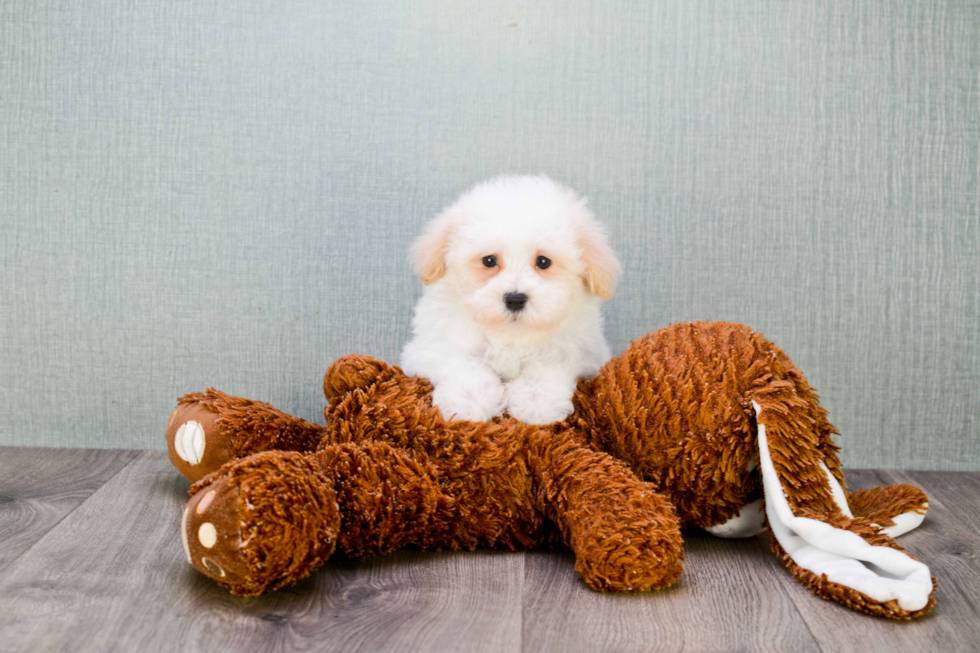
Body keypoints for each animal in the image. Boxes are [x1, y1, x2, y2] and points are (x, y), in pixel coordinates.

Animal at [400, 176, 620, 426]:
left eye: (543, 262)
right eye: (489, 260)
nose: (515, 299)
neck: (510, 334)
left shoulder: (581, 351)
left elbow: (547, 366)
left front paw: (536, 404)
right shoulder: (431, 346)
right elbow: (463, 365)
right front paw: (468, 403)